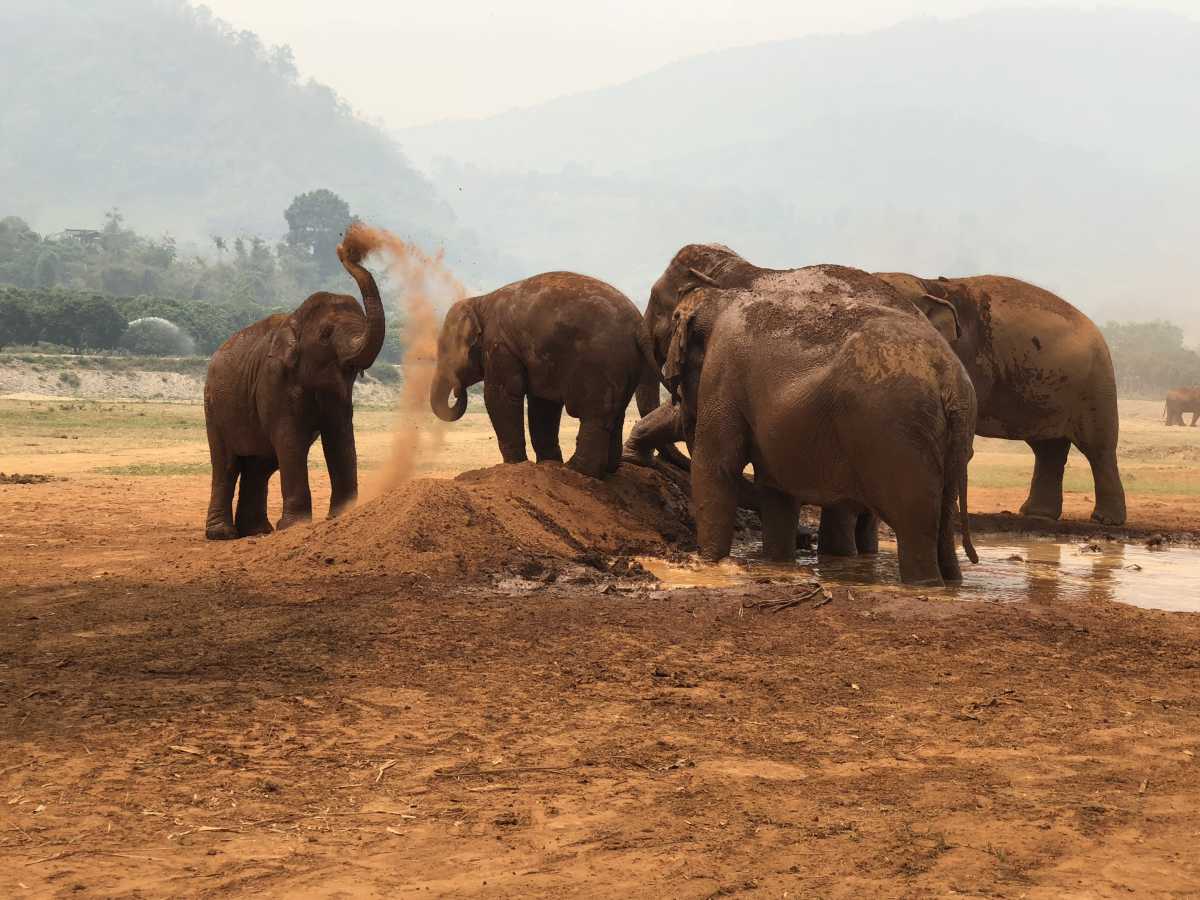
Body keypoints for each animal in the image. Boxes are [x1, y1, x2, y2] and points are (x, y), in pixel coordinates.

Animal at [199, 224, 381, 542]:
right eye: (325, 334)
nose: (344, 249)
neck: (295, 318)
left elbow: (340, 437)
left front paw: (340, 518)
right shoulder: (273, 382)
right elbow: (289, 438)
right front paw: (295, 526)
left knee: (261, 465)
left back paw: (257, 530)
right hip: (214, 407)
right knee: (227, 464)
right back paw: (223, 534)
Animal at [429, 271, 662, 480]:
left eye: (444, 351)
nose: (458, 391)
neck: (479, 301)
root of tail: (640, 326)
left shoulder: (500, 347)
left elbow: (500, 396)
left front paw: (516, 465)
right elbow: (543, 405)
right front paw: (549, 464)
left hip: (602, 363)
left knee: (595, 415)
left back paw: (576, 470)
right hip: (627, 366)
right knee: (615, 415)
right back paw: (606, 469)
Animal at [662, 271, 979, 588]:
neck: (722, 297)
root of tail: (949, 379)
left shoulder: (722, 374)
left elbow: (716, 466)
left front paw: (707, 563)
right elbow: (777, 492)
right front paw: (778, 564)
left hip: (897, 432)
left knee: (914, 522)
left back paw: (924, 584)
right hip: (946, 440)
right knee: (943, 522)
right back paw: (952, 582)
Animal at [878, 274, 1128, 528]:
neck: (928, 285)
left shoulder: (966, 359)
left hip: (1095, 383)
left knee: (1098, 448)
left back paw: (1105, 520)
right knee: (1048, 449)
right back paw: (1037, 514)